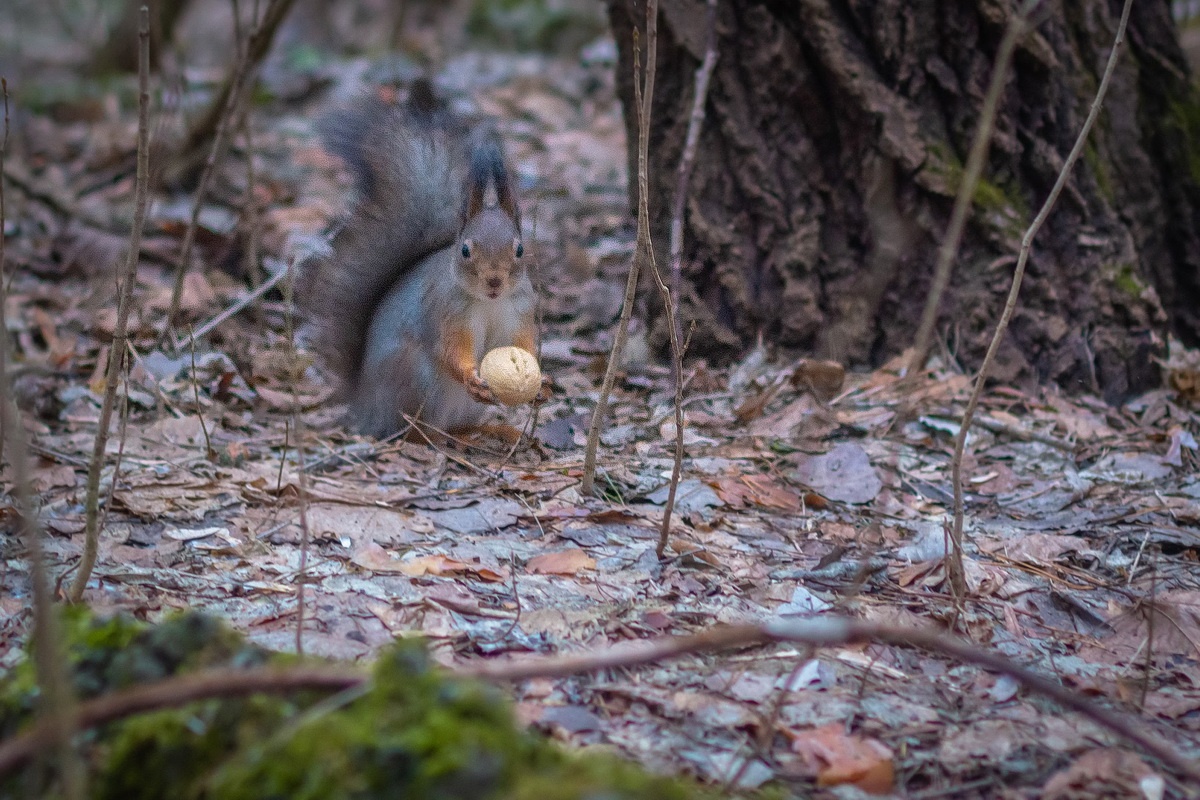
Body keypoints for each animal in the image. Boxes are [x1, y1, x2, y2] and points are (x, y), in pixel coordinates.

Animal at [300, 82, 549, 438]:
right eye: (464, 250)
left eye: (519, 249)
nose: (494, 281)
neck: (490, 303)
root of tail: (365, 407)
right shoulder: (445, 311)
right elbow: (449, 349)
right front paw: (471, 377)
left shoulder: (520, 310)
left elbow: (524, 344)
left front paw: (542, 385)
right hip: (416, 380)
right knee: (418, 430)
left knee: (457, 425)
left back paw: (492, 431)